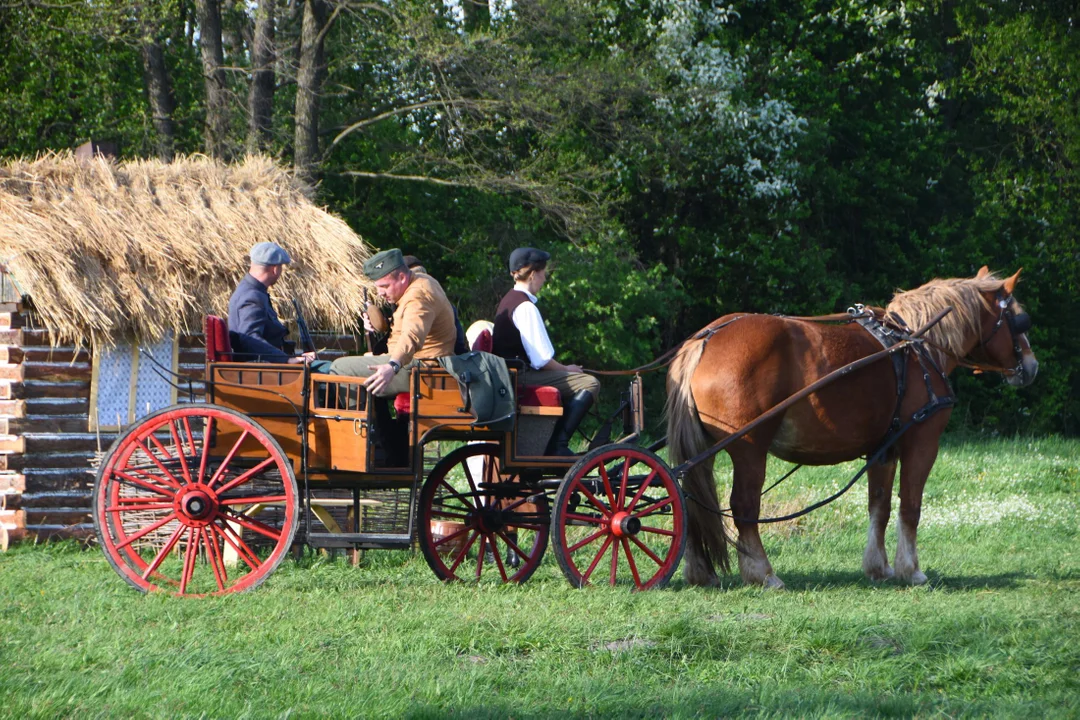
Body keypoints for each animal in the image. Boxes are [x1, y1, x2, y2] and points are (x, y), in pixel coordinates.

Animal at [665, 267, 1036, 587]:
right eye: (1019, 319)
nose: (1032, 367)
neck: (918, 345)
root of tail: (705, 339)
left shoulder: (884, 449)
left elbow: (879, 506)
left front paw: (879, 567)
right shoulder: (922, 441)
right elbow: (910, 505)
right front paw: (911, 570)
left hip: (705, 450)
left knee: (692, 500)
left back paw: (701, 572)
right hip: (749, 448)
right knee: (743, 506)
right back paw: (763, 573)